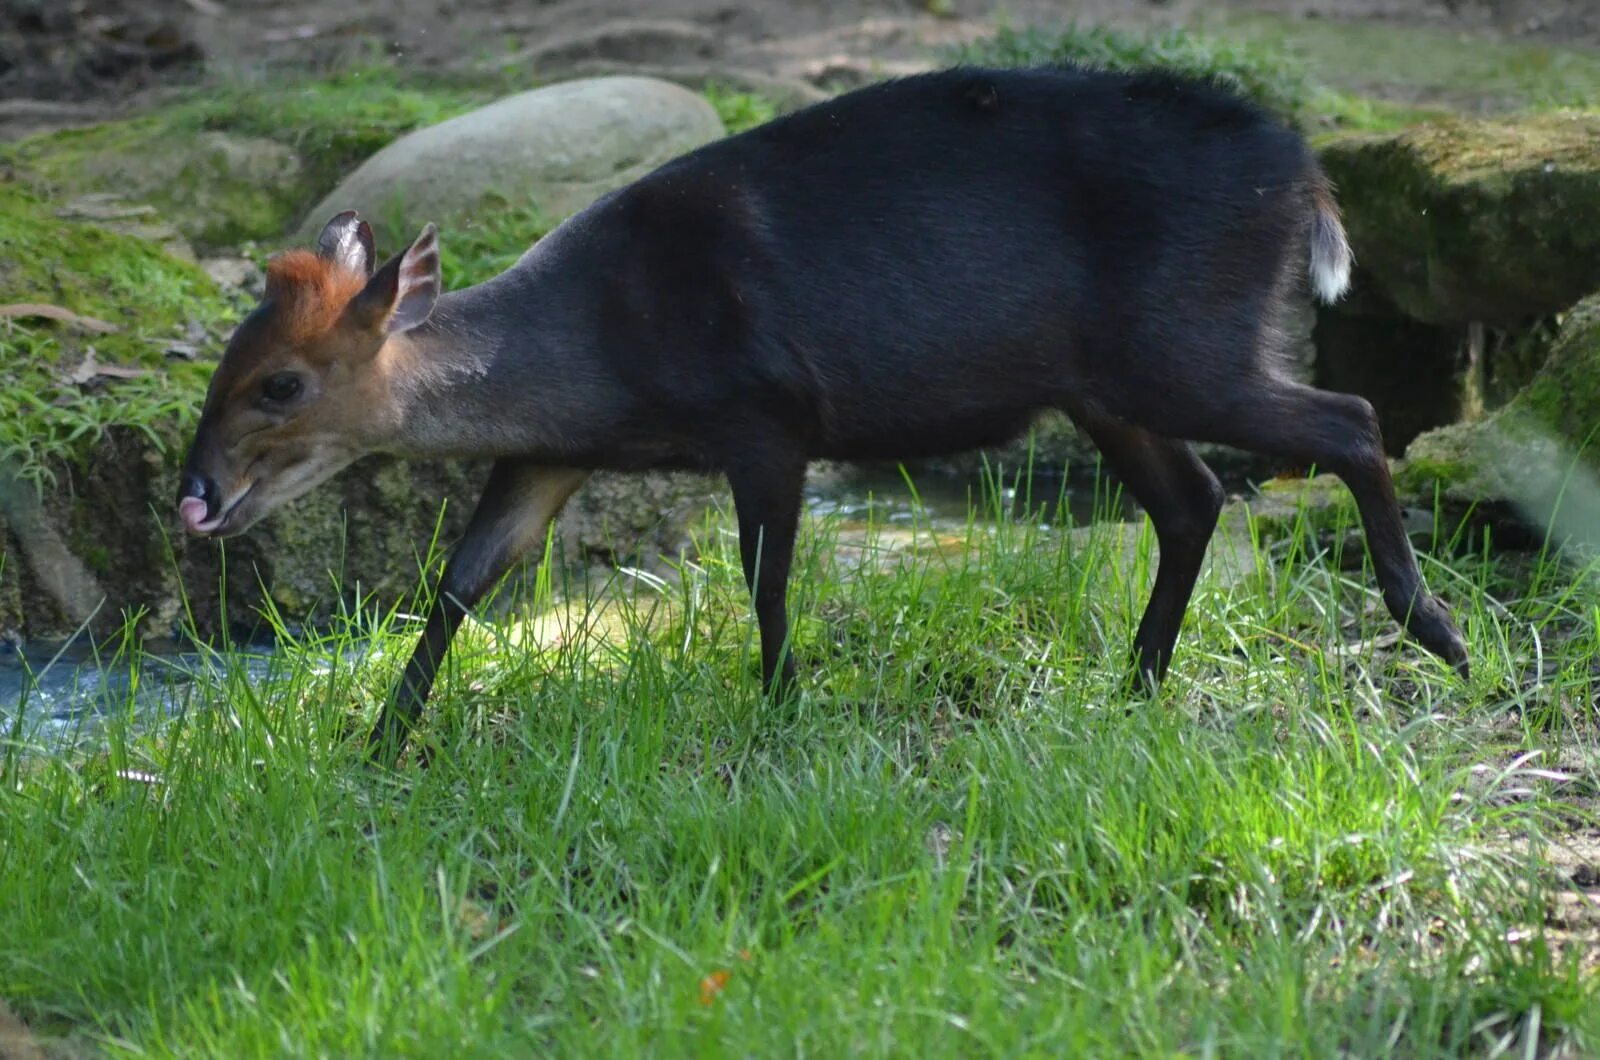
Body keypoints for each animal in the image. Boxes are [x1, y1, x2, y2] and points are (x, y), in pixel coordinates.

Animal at [181, 66, 1465, 755]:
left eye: (280, 384)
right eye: (225, 367)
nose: (194, 497)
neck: (605, 337)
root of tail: (1306, 179)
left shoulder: (766, 418)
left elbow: (765, 576)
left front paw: (781, 706)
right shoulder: (554, 450)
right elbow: (460, 577)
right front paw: (382, 736)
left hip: (1184, 347)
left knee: (1348, 417)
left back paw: (1435, 631)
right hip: (1109, 381)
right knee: (1193, 498)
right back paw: (1134, 683)